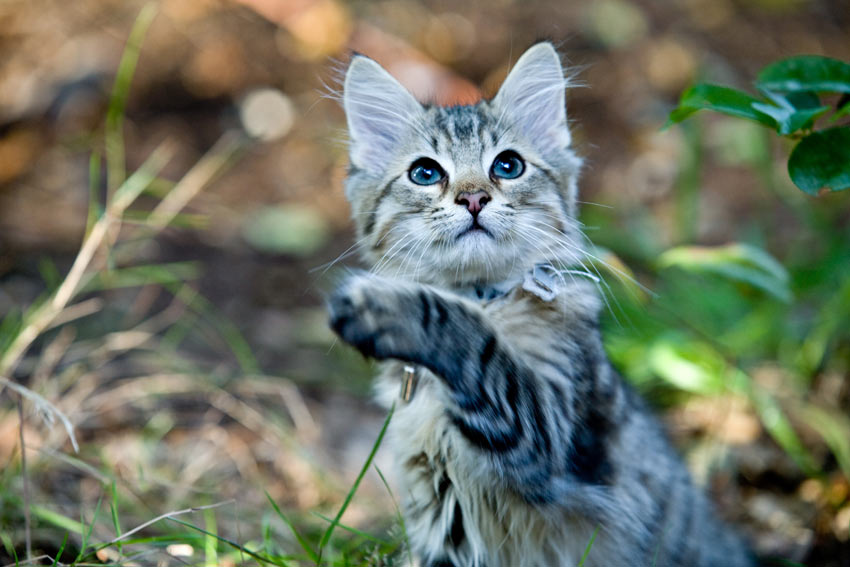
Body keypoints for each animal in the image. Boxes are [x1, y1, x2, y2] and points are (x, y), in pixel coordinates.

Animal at [328, 42, 752, 564]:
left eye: (507, 166)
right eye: (425, 173)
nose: (473, 198)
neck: (483, 296)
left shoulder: (549, 431)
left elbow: (473, 341)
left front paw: (386, 310)